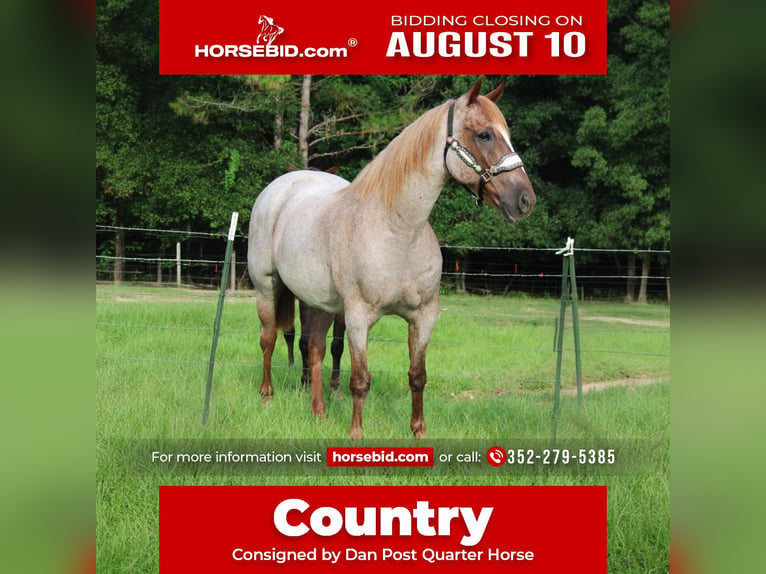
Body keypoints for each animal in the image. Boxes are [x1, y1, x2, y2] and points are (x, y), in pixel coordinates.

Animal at [248, 76, 535, 439]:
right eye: (484, 134)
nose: (524, 199)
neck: (398, 231)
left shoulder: (423, 316)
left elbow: (418, 375)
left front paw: (418, 431)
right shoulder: (358, 318)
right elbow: (360, 380)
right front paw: (356, 434)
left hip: (320, 302)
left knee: (313, 349)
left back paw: (319, 411)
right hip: (267, 289)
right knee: (269, 339)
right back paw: (267, 396)